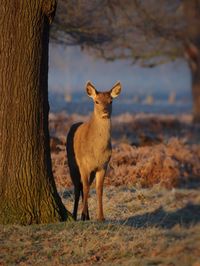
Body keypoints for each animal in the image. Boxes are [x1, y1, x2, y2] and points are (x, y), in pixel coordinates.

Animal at [66, 81, 121, 220]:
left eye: (111, 101)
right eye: (96, 101)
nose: (105, 111)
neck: (97, 152)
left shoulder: (103, 165)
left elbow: (99, 189)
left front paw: (101, 217)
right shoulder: (84, 165)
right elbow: (85, 188)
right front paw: (83, 215)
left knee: (83, 187)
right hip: (72, 164)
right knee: (77, 187)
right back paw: (75, 215)